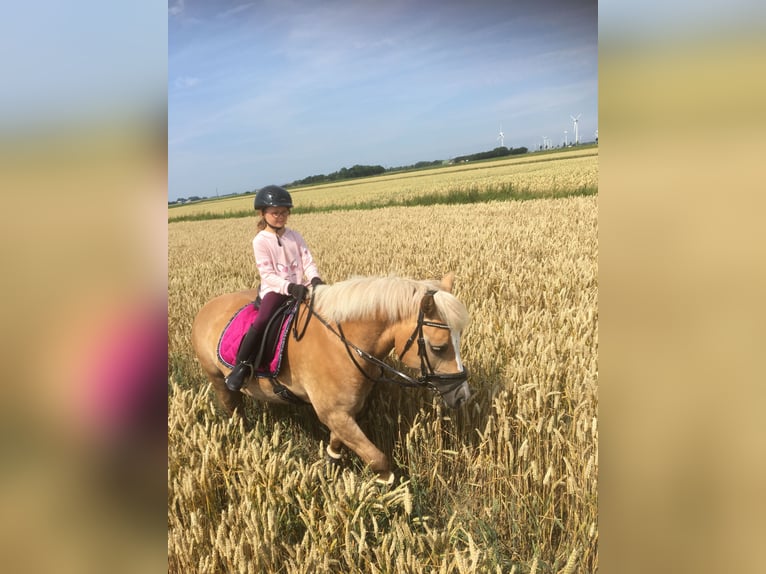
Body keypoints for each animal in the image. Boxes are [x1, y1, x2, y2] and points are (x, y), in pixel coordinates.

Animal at [189, 272, 472, 484]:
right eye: (438, 347)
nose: (462, 396)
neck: (344, 343)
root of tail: (206, 307)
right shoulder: (333, 412)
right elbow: (378, 459)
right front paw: (389, 496)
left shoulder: (344, 411)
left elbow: (338, 442)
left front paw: (330, 464)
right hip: (218, 380)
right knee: (234, 410)